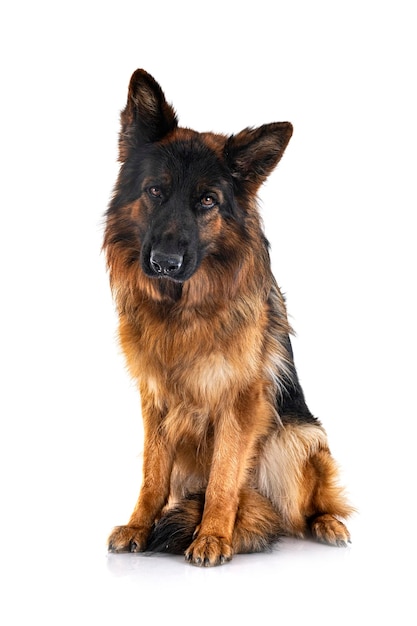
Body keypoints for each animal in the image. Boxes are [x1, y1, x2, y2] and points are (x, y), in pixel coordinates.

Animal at [103, 68, 352, 564]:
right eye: (155, 191)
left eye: (207, 201)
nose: (163, 262)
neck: (182, 311)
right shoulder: (155, 398)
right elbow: (152, 473)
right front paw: (140, 525)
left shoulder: (240, 400)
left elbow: (224, 474)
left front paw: (214, 535)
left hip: (297, 439)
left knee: (311, 503)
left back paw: (325, 524)